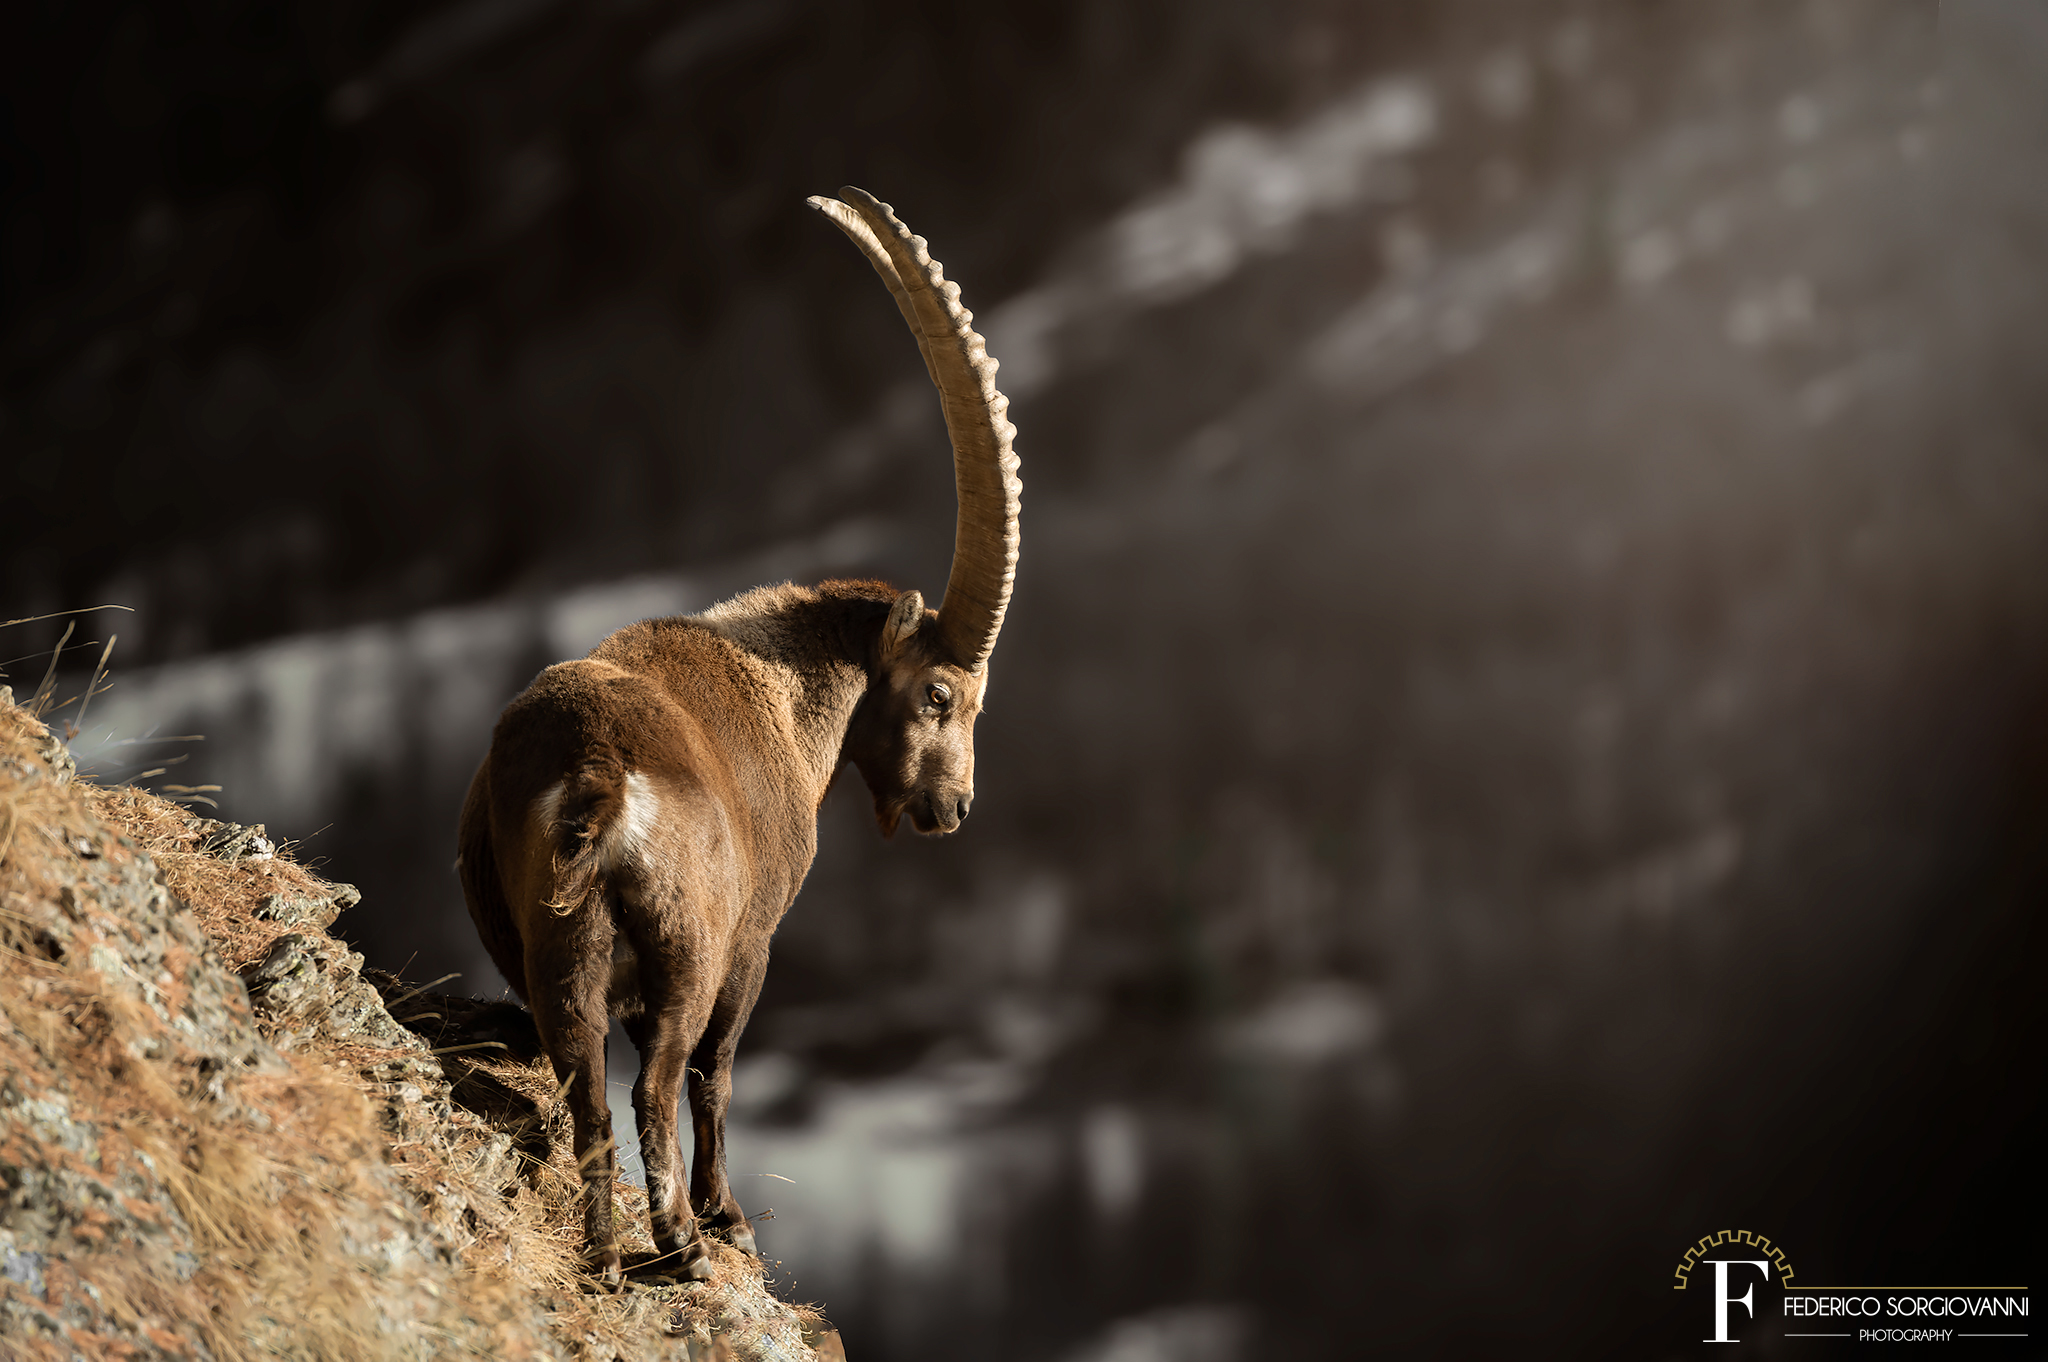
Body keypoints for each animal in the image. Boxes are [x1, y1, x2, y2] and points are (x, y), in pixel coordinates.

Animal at [455, 188, 1020, 1288]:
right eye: (941, 695)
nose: (954, 806)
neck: (784, 691)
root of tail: (599, 775)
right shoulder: (755, 939)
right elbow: (718, 1076)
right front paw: (728, 1218)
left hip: (555, 952)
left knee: (586, 1090)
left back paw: (605, 1254)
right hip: (688, 948)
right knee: (662, 1081)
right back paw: (679, 1240)